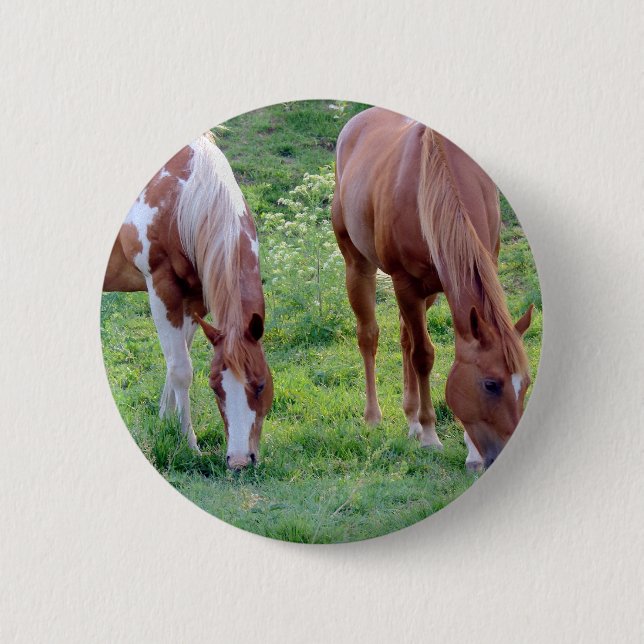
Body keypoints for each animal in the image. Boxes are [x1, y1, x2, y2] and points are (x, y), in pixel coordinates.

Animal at [103, 132, 273, 469]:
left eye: (261, 385)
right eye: (215, 388)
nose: (239, 461)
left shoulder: (195, 300)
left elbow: (177, 359)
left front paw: (165, 421)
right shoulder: (162, 288)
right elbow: (181, 368)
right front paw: (189, 443)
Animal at [332, 107, 533, 471]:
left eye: (524, 383)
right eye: (491, 385)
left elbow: (434, 350)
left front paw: (467, 449)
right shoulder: (406, 285)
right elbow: (423, 356)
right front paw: (428, 434)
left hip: (430, 292)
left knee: (404, 338)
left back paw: (410, 417)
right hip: (359, 266)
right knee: (370, 336)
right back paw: (374, 417)